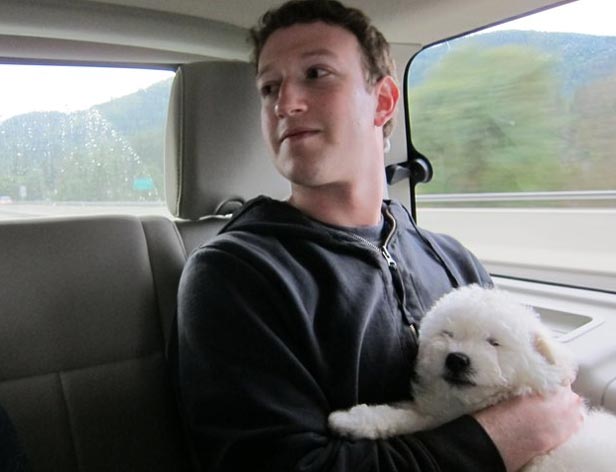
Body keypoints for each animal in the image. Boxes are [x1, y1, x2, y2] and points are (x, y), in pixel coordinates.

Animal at [328, 284, 616, 471]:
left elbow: (404, 418)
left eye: (493, 342)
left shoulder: (438, 417)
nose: (456, 359)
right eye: (448, 334)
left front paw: (350, 420)